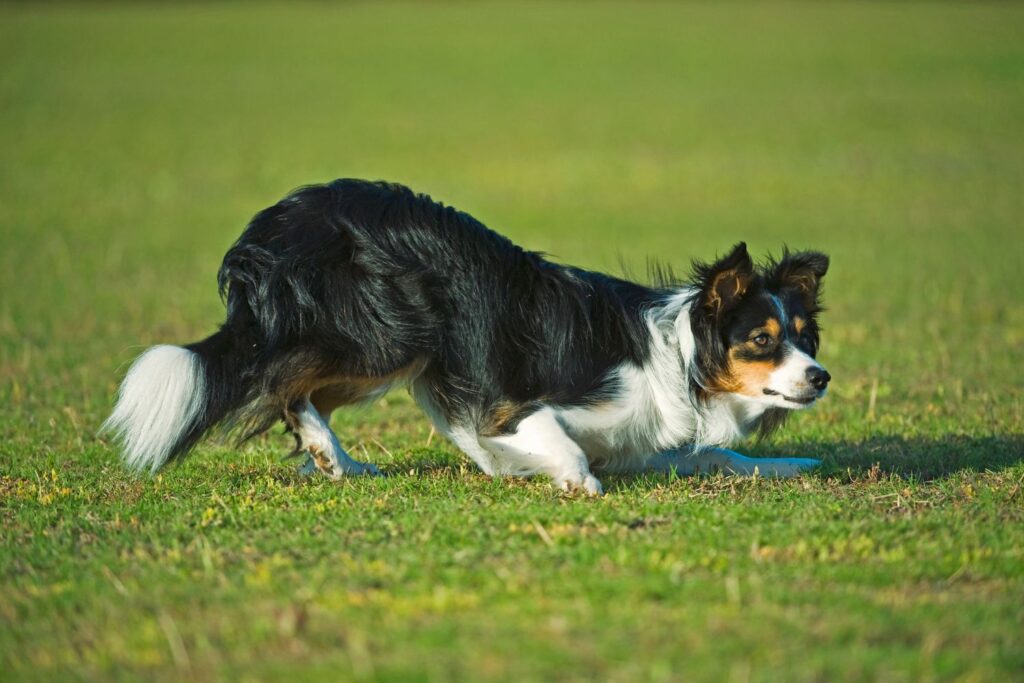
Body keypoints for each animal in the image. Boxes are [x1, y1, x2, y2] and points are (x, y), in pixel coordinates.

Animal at [99, 179, 827, 493]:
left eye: (805, 339)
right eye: (762, 339)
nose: (820, 378)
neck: (682, 356)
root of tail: (277, 222)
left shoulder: (641, 440)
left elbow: (722, 455)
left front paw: (792, 465)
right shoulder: (509, 404)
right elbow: (559, 440)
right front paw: (573, 482)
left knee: (298, 390)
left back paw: (339, 461)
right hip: (391, 335)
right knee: (281, 381)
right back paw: (331, 453)